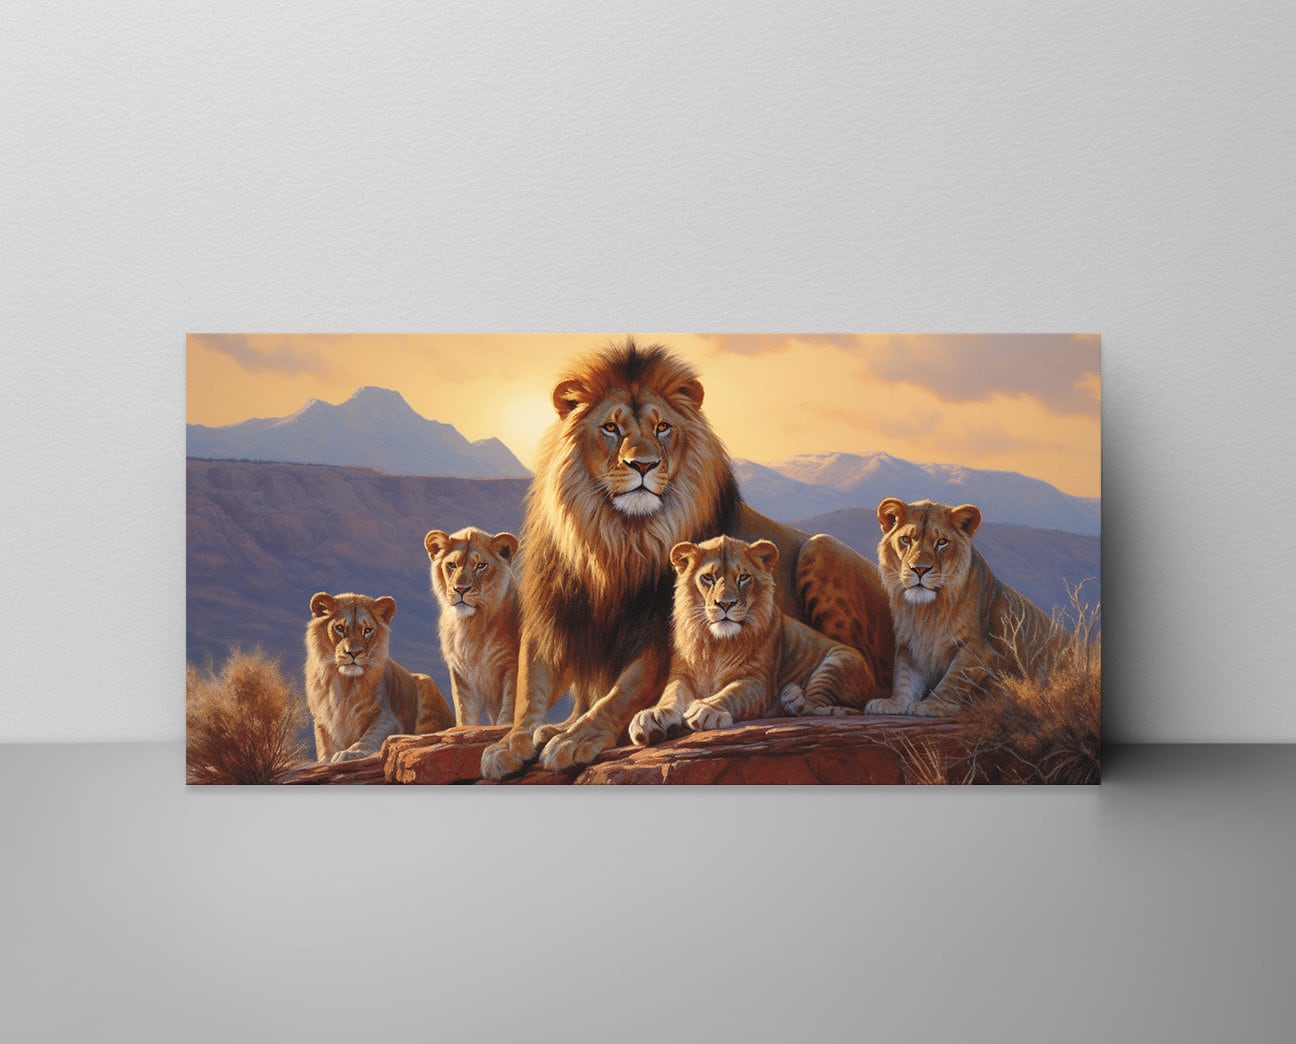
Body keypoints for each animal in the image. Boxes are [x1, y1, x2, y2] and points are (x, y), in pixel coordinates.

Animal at [305, 592, 453, 762]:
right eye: (340, 628)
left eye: (367, 630)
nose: (354, 652)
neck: (345, 683)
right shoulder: (322, 722)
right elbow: (324, 747)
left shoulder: (388, 718)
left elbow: (370, 737)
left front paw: (350, 752)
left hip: (426, 684)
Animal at [424, 526, 521, 726]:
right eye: (452, 565)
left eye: (481, 566)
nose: (461, 589)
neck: (470, 624)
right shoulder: (460, 673)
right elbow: (465, 714)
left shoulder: (511, 665)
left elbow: (509, 708)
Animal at [629, 536, 881, 745]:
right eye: (708, 577)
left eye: (743, 577)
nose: (726, 604)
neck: (715, 643)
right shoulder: (682, 675)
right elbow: (670, 694)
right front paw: (651, 716)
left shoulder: (758, 683)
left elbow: (731, 694)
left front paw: (705, 709)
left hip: (839, 661)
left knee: (818, 706)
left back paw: (794, 699)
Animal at [865, 498, 1070, 718]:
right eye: (906, 539)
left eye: (941, 542)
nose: (919, 569)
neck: (928, 611)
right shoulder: (909, 646)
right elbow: (904, 677)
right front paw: (893, 703)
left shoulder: (977, 648)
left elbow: (954, 679)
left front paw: (933, 705)